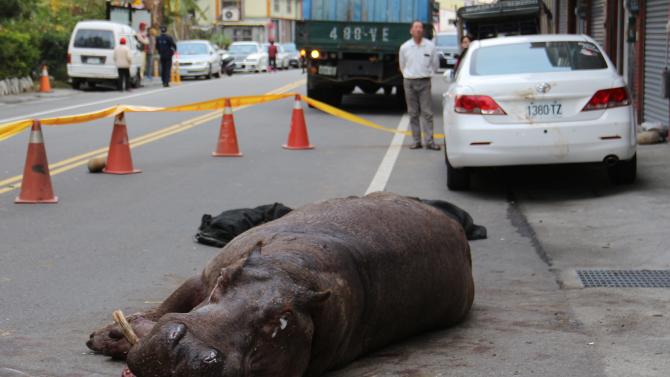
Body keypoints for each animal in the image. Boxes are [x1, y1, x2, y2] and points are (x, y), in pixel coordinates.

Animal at [88, 192, 478, 374]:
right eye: (226, 280)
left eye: (282, 322)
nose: (189, 352)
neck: (290, 271)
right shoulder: (207, 273)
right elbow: (169, 304)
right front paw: (110, 334)